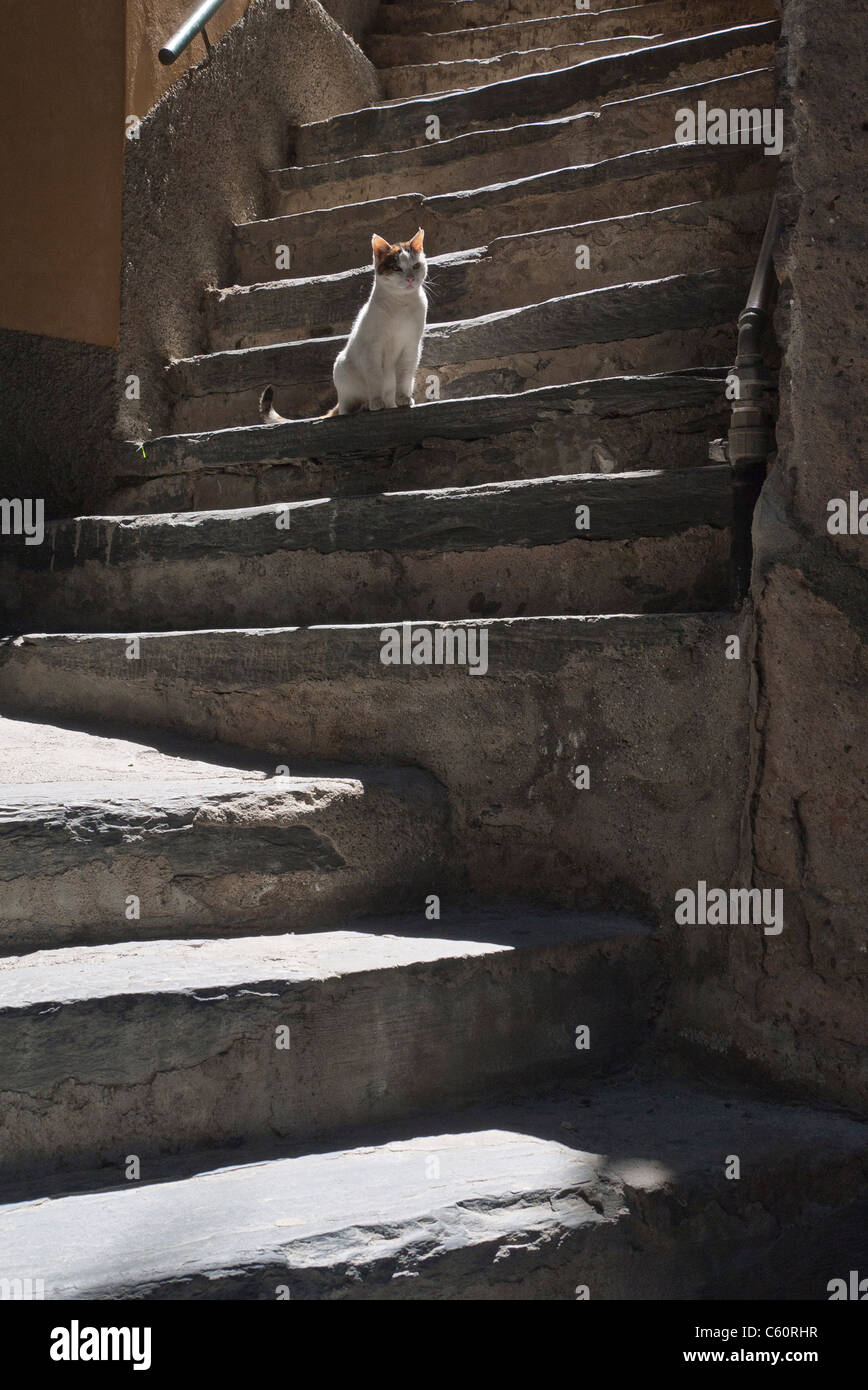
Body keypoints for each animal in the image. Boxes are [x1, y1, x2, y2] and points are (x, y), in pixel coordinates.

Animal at [257, 225, 428, 422]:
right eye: (396, 268)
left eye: (416, 266)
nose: (410, 278)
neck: (401, 305)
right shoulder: (372, 348)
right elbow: (375, 377)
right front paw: (376, 402)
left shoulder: (411, 347)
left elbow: (405, 376)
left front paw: (404, 398)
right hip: (342, 369)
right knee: (347, 408)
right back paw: (366, 405)